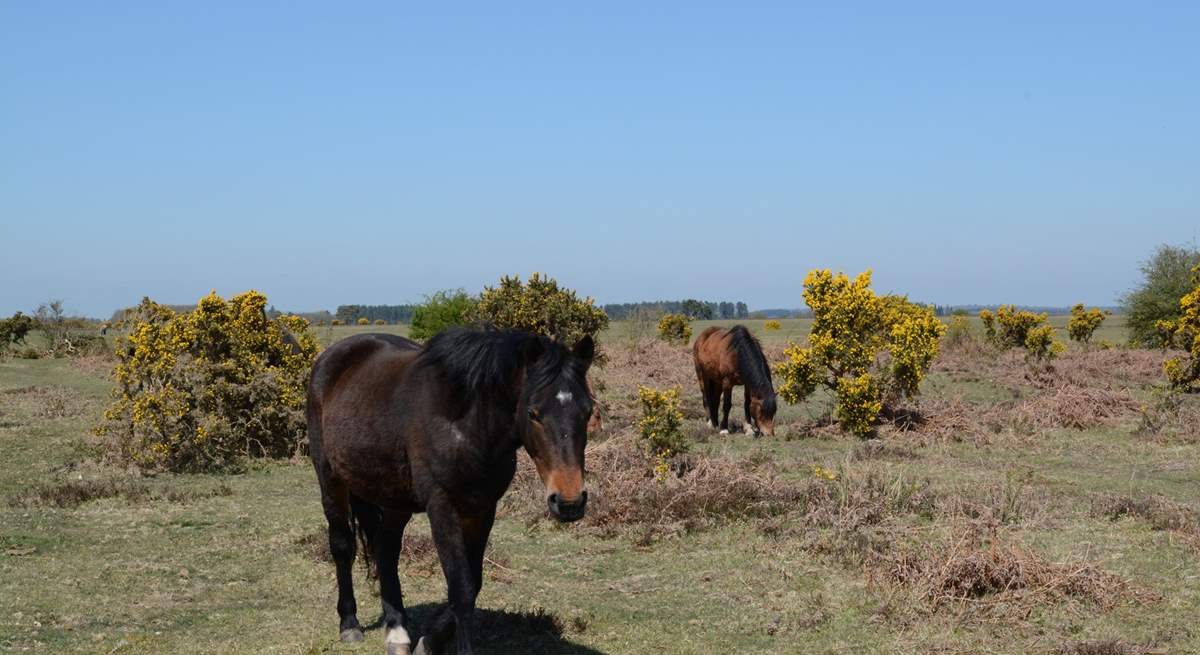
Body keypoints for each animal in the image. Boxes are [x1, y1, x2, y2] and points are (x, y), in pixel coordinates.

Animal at [307, 326, 592, 652]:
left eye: (588, 411)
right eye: (533, 413)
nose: (569, 501)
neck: (467, 425)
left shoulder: (482, 509)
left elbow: (473, 580)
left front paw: (429, 639)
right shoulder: (442, 506)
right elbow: (461, 588)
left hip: (396, 500)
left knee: (386, 549)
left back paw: (397, 631)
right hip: (330, 479)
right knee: (342, 546)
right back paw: (350, 623)